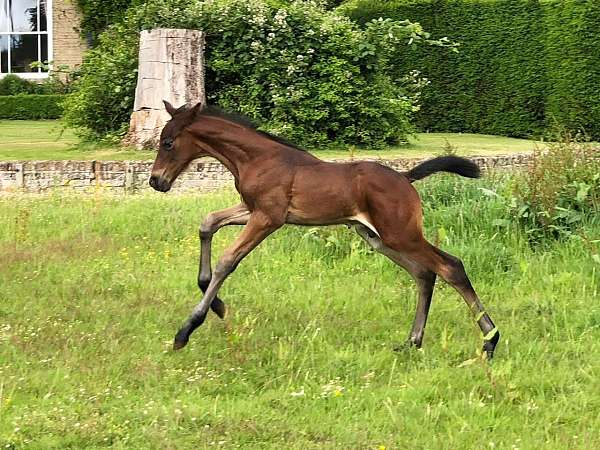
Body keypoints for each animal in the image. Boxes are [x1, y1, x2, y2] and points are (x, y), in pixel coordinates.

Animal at [151, 100, 502, 356]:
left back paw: (490, 341)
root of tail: (405, 178)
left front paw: (187, 329)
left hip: (401, 234)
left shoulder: (268, 218)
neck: (256, 158)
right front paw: (218, 304)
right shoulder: (252, 209)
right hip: (377, 238)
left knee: (450, 266)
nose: (156, 181)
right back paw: (412, 342)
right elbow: (208, 222)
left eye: (167, 142)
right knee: (424, 273)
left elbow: (227, 260)